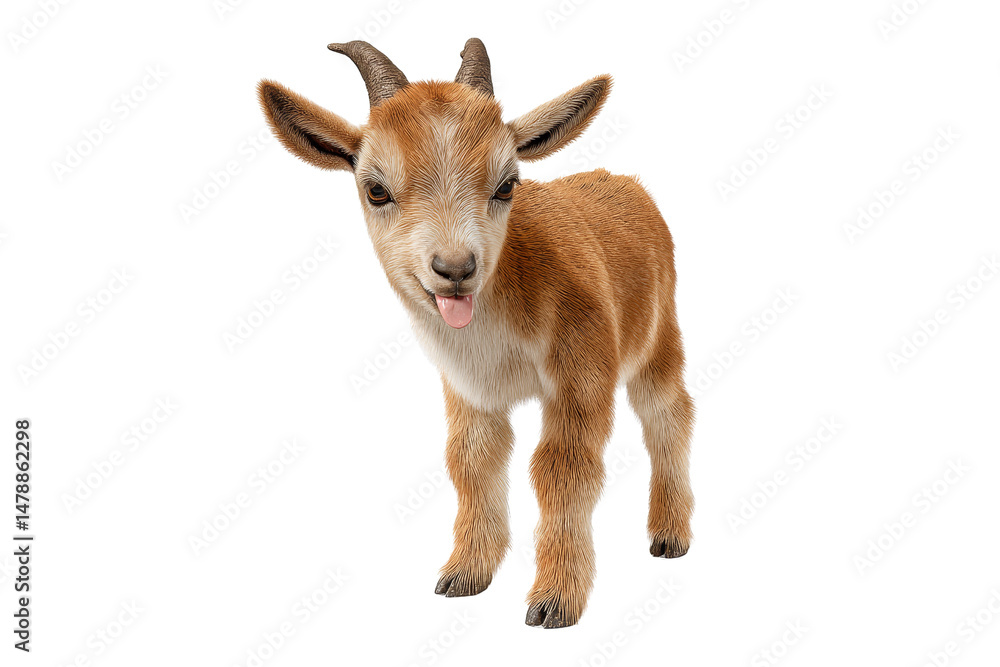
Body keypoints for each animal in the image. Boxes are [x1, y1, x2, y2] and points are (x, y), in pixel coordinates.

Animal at [257, 38, 695, 628]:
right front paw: (466, 573)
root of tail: (626, 182)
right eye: (376, 190)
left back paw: (670, 535)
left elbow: (562, 467)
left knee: (667, 413)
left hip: (658, 334)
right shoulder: (468, 389)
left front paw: (555, 599)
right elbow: (471, 460)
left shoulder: (580, 373)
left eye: (507, 184)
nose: (456, 268)